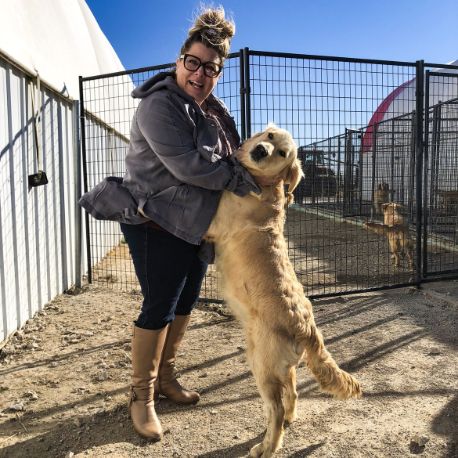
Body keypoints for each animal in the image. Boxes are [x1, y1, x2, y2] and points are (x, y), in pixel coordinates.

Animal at [207, 125, 362, 458]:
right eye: (269, 136)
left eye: (281, 153)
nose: (260, 151)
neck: (262, 185)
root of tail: (308, 329)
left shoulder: (212, 220)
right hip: (282, 367)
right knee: (291, 396)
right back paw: (287, 422)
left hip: (261, 365)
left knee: (275, 408)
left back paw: (267, 447)